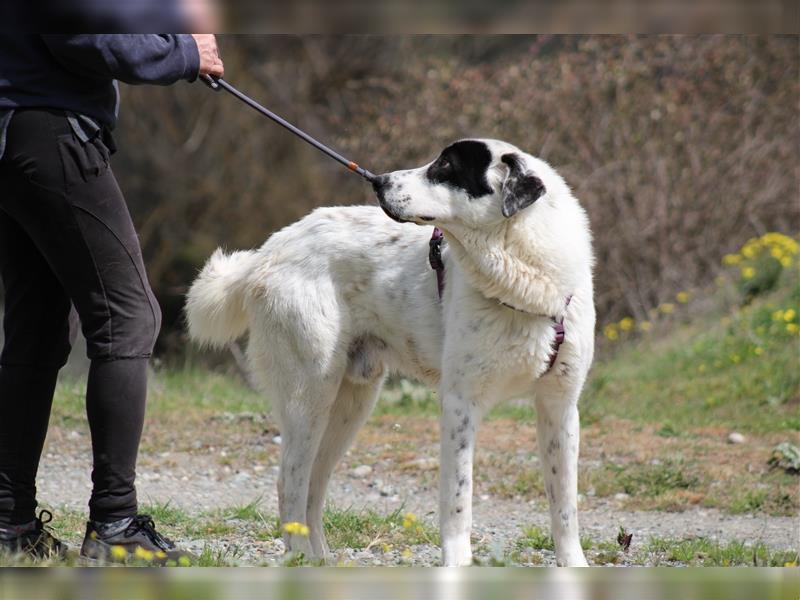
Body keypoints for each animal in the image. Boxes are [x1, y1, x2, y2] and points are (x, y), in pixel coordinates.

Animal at [186, 138, 592, 564]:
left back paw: (321, 561)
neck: (528, 285)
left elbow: (565, 505)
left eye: (445, 166)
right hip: (308, 398)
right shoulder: (460, 406)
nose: (379, 182)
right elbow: (458, 501)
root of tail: (267, 252)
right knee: (290, 484)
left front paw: (573, 565)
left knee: (314, 485)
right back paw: (300, 558)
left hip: (348, 407)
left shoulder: (560, 408)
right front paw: (457, 564)